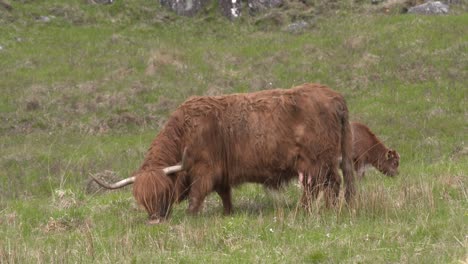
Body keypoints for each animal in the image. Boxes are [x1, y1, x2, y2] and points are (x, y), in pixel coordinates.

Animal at [92, 83, 354, 223]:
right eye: (143, 199)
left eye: (163, 192)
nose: (155, 220)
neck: (185, 132)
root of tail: (333, 96)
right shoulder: (222, 174)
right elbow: (225, 195)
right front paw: (228, 214)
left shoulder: (205, 170)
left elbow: (196, 197)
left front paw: (190, 217)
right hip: (326, 161)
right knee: (334, 183)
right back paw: (333, 209)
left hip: (315, 161)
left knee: (319, 186)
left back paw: (305, 211)